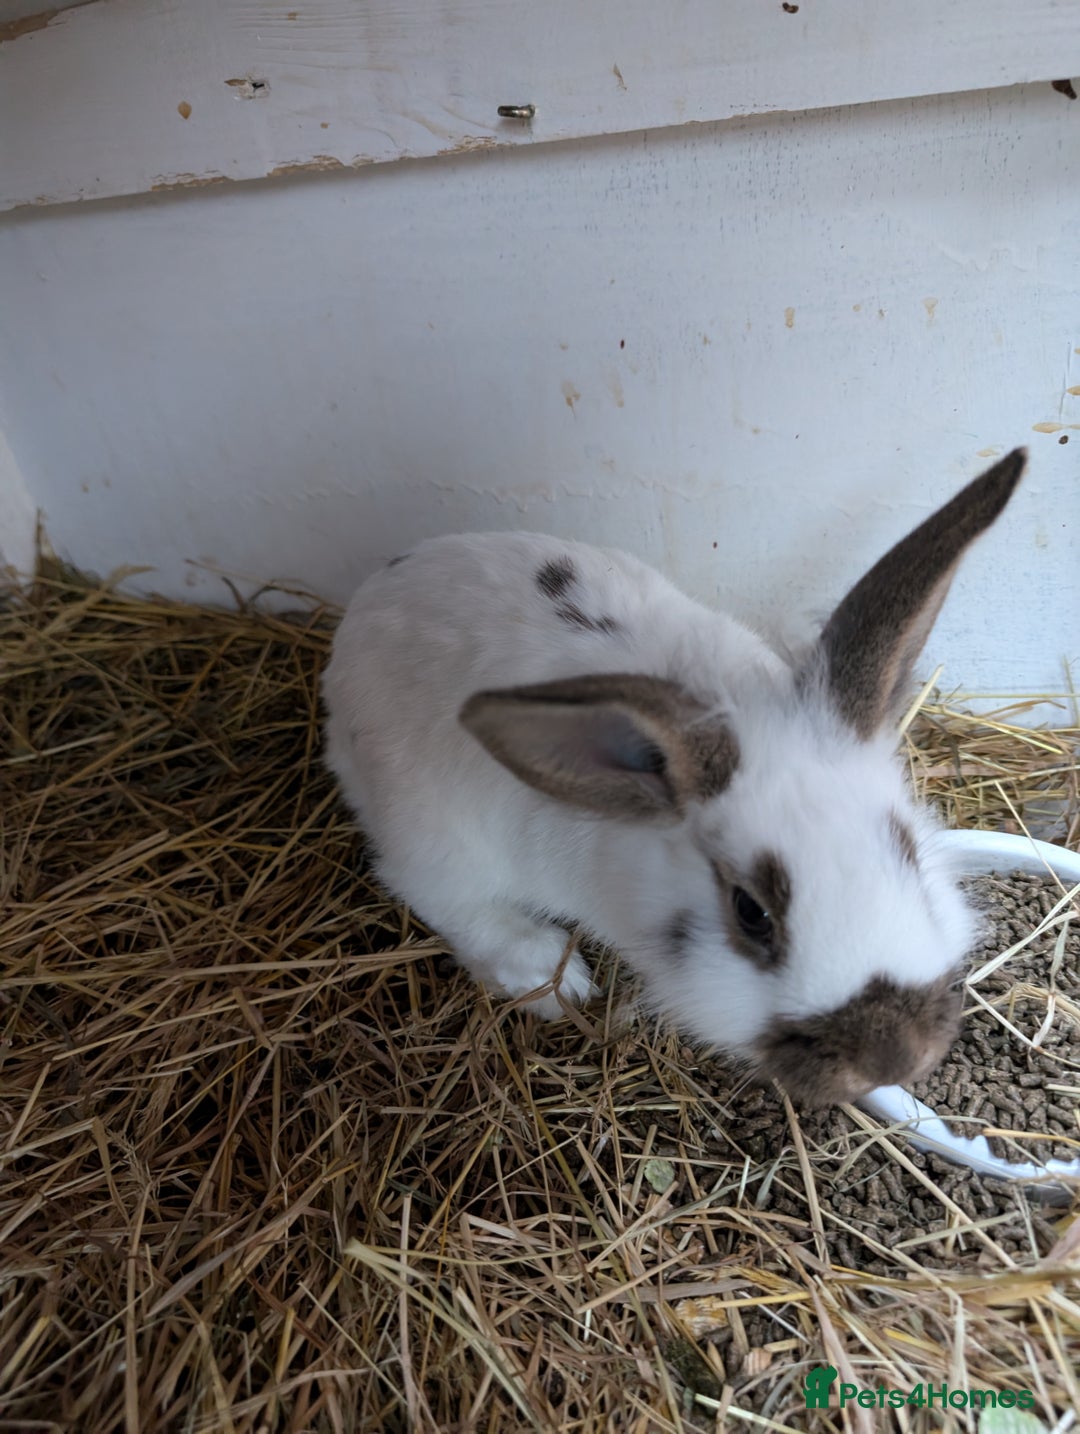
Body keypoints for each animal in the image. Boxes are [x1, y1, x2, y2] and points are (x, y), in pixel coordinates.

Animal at [322, 449, 1026, 1105]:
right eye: (751, 913)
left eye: (908, 853)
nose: (895, 1059)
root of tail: (367, 603)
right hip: (436, 837)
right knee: (437, 895)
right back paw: (553, 977)